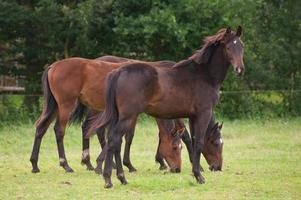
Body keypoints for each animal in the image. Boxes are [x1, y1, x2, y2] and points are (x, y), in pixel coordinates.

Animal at [87, 26, 244, 188]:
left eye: (242, 46)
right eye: (216, 143)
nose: (240, 69)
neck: (204, 76)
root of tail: (118, 72)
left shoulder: (192, 116)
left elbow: (193, 141)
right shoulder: (203, 113)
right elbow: (198, 141)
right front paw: (199, 176)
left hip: (120, 116)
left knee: (115, 141)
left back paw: (121, 178)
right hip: (127, 117)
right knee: (114, 139)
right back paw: (109, 179)